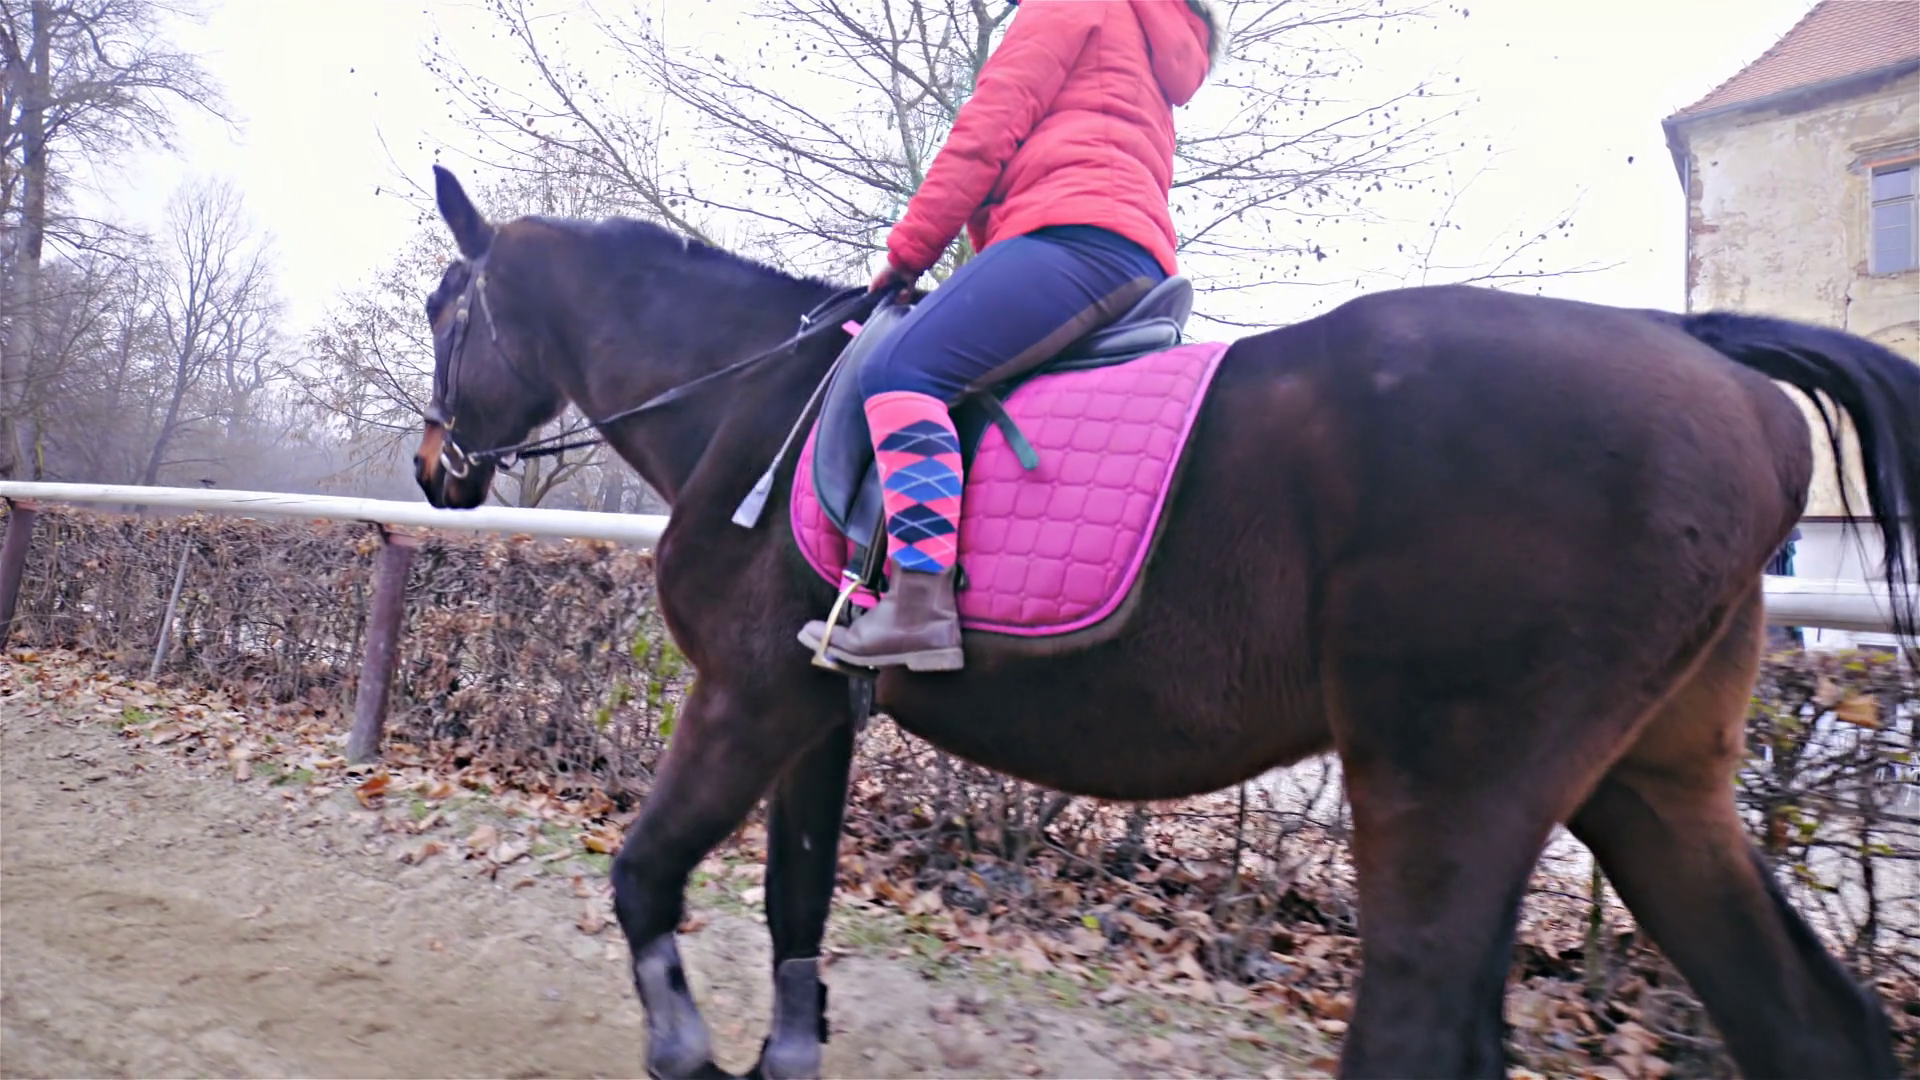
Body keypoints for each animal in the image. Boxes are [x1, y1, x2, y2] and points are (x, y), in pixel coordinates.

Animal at [412, 166, 1914, 1079]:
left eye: (443, 310)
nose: (435, 468)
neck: (754, 399)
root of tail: (1703, 351)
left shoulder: (745, 697)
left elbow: (642, 876)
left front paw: (681, 1046)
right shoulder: (816, 715)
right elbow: (796, 901)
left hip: (1449, 785)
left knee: (1417, 1022)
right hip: (1652, 786)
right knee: (1807, 1023)